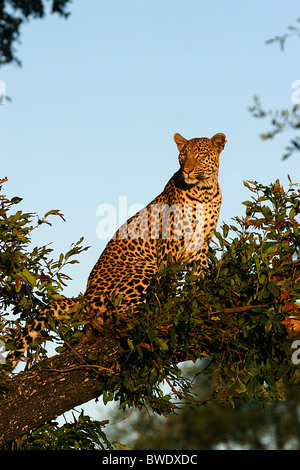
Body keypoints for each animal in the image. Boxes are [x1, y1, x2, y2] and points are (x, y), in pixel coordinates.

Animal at [5, 130, 226, 370]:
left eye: (200, 154)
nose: (187, 169)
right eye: (183, 155)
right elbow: (168, 282)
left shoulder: (201, 246)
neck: (204, 191)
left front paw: (197, 302)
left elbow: (198, 278)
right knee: (116, 314)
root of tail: (85, 296)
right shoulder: (170, 245)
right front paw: (167, 309)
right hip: (142, 268)